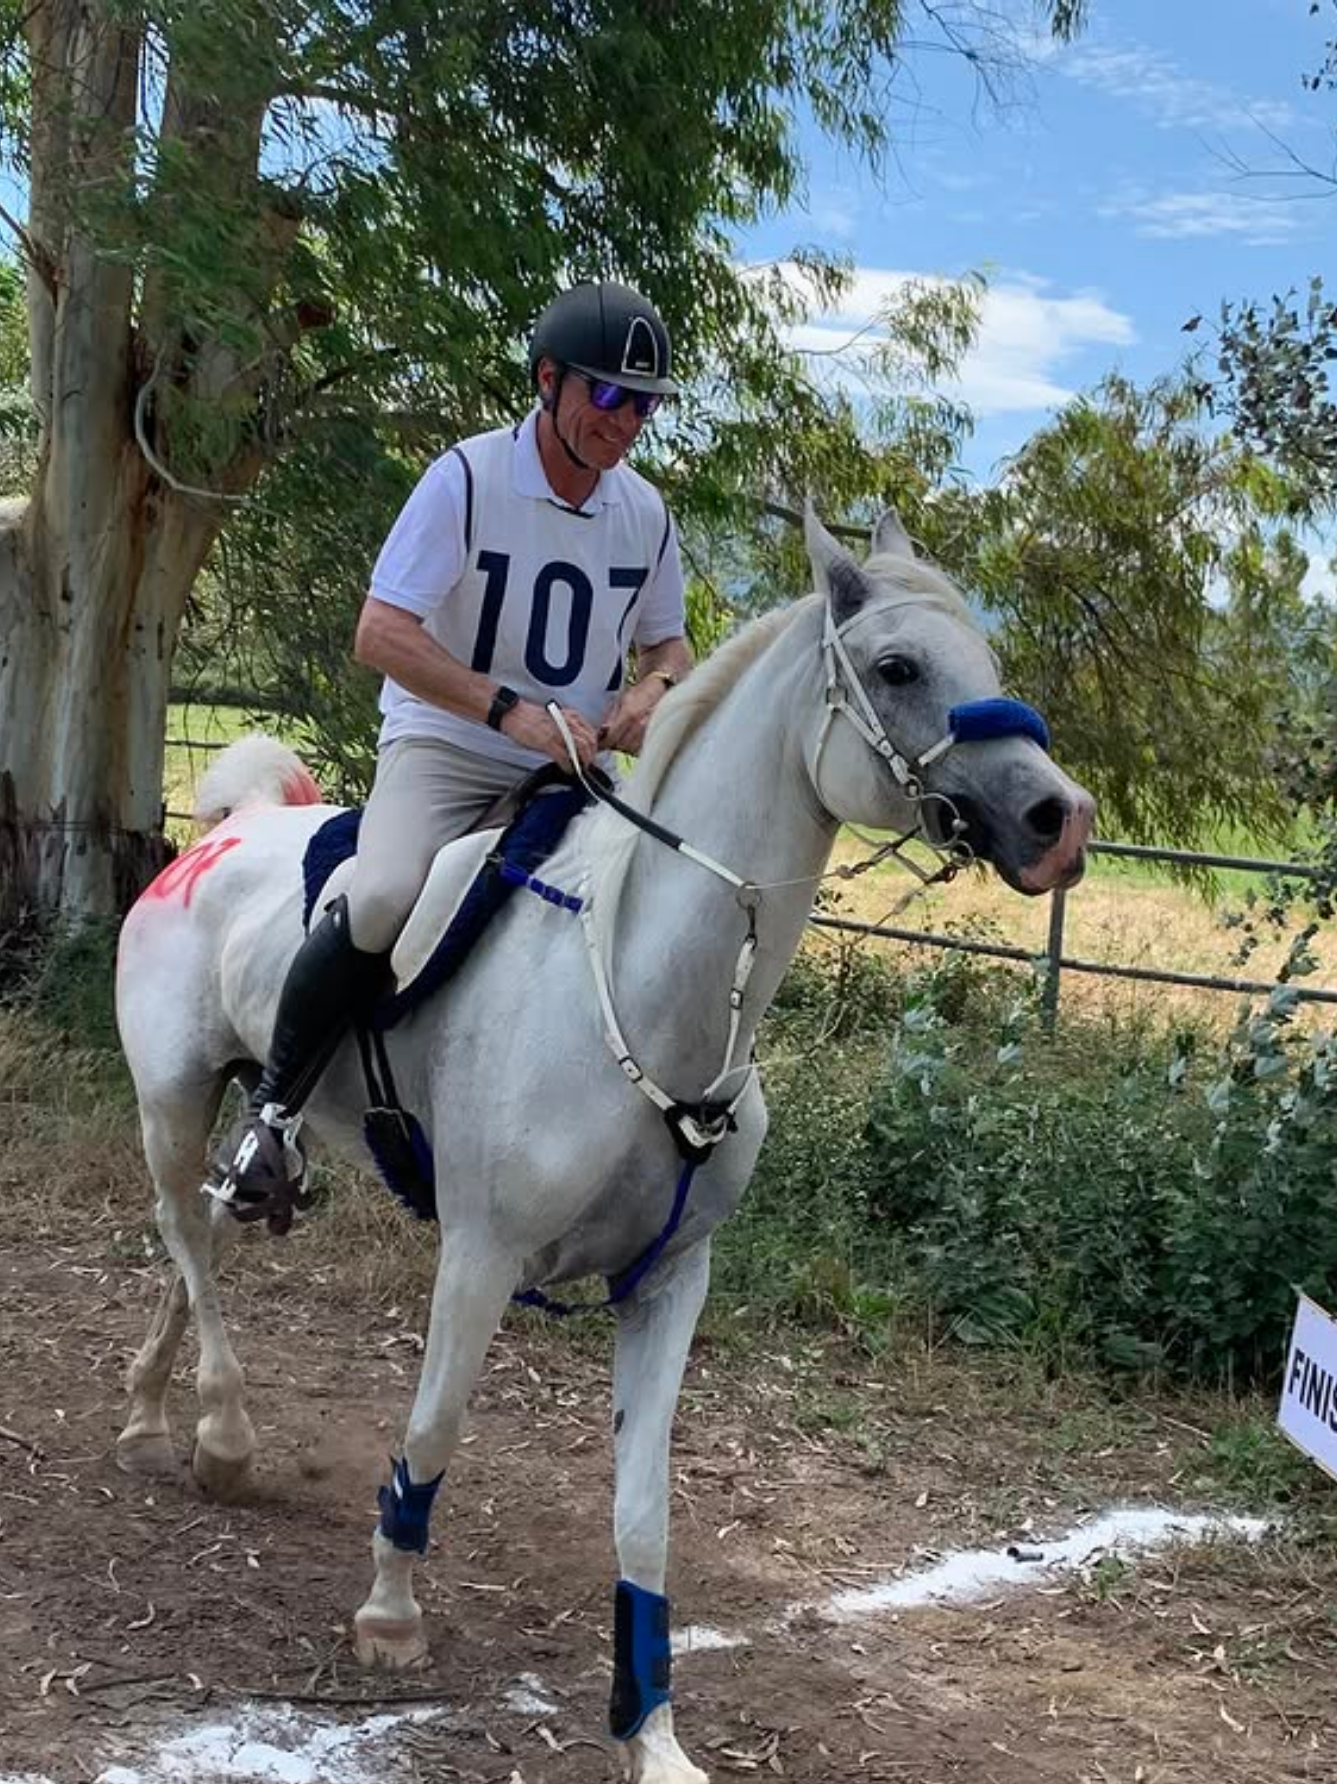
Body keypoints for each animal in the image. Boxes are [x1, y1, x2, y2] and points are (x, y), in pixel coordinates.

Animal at [114, 509, 1094, 1784]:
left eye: (984, 659)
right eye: (896, 668)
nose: (1058, 820)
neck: (644, 990)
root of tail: (225, 830)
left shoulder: (668, 1281)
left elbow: (644, 1512)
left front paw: (652, 1730)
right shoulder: (478, 1254)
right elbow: (431, 1429)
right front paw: (390, 1612)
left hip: (233, 1117)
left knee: (201, 1237)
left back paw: (153, 1409)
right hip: (170, 1100)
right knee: (185, 1230)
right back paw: (223, 1431)